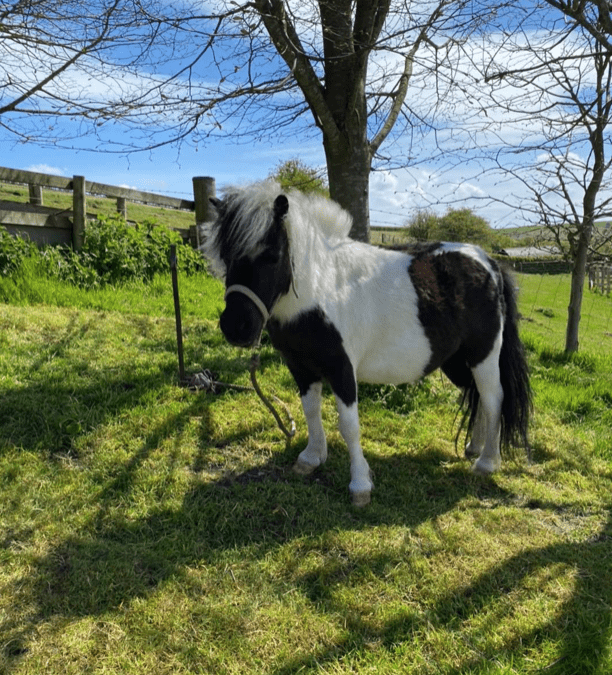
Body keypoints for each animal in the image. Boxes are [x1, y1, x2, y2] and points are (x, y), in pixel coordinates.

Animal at [206, 181, 532, 508]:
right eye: (225, 255)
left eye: (272, 255)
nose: (236, 328)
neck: (322, 289)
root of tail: (489, 263)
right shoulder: (301, 368)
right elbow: (310, 411)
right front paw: (311, 458)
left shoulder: (341, 370)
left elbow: (349, 426)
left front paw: (360, 485)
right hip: (455, 361)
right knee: (476, 394)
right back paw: (474, 447)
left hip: (483, 355)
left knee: (493, 397)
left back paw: (487, 462)